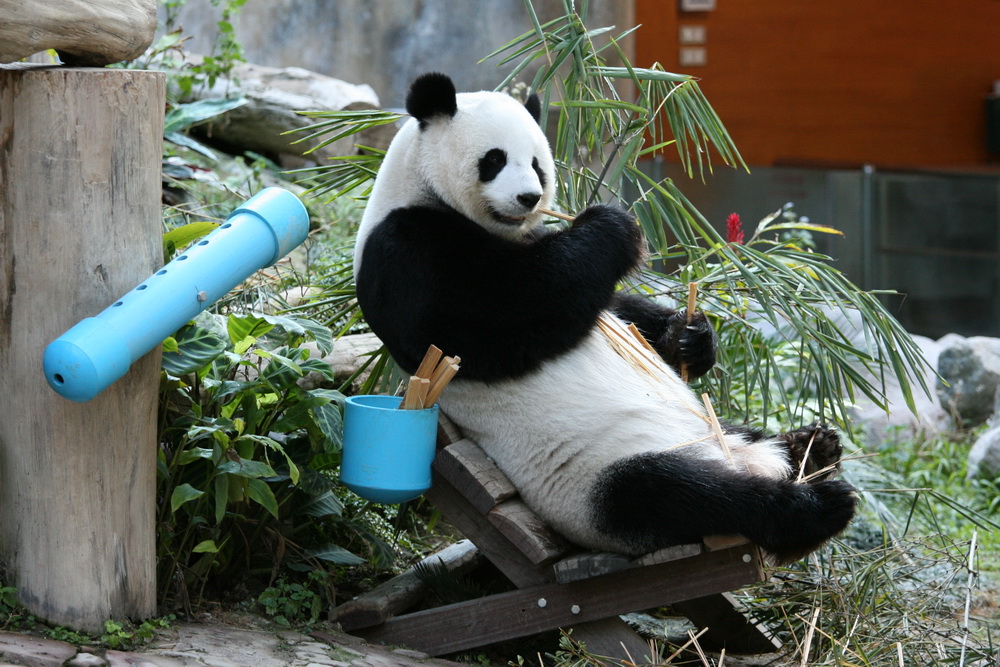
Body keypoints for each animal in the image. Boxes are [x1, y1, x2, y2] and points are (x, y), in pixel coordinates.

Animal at [356, 72, 856, 564]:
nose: (529, 197)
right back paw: (815, 507)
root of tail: (737, 458)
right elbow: (498, 319)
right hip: (597, 480)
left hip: (713, 431)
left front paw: (691, 337)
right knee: (680, 494)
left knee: (743, 448)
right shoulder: (407, 251)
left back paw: (811, 448)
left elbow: (615, 309)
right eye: (494, 160)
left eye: (537, 163)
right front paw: (614, 227)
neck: (422, 189)